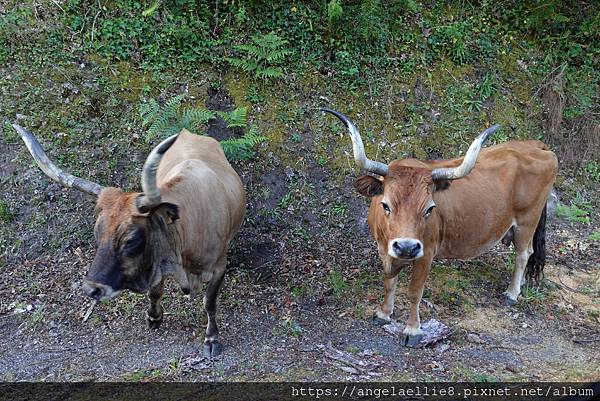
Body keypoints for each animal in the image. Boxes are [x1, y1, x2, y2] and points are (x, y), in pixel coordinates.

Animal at [12, 126, 245, 356]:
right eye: (97, 232)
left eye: (131, 240)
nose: (91, 289)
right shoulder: (157, 261)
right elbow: (155, 292)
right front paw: (154, 317)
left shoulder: (218, 267)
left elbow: (209, 302)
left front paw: (211, 338)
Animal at [322, 108, 560, 346]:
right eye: (385, 205)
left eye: (429, 209)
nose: (407, 247)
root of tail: (535, 145)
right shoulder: (385, 249)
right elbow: (389, 282)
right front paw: (383, 313)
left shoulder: (426, 253)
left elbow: (414, 291)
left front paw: (413, 330)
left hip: (527, 221)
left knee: (523, 253)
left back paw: (511, 293)